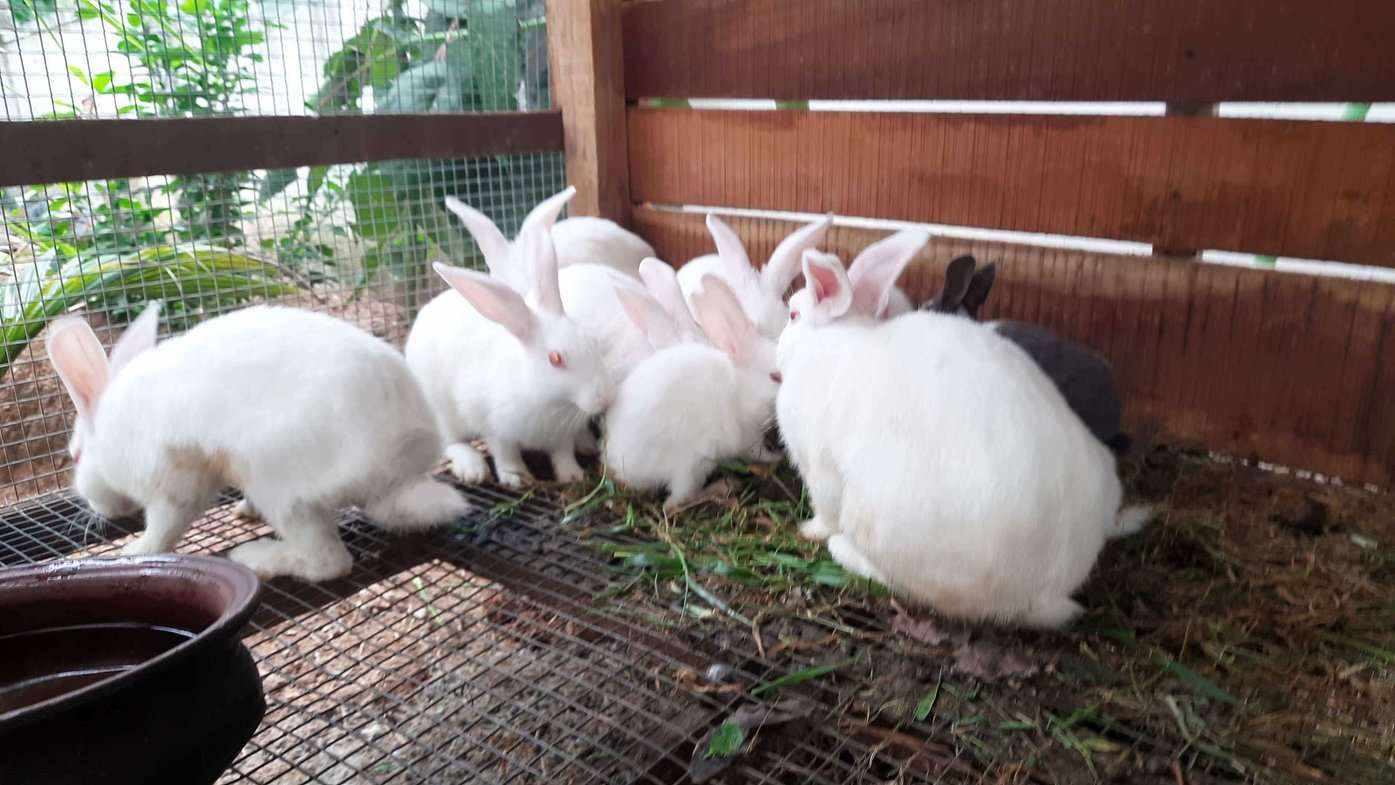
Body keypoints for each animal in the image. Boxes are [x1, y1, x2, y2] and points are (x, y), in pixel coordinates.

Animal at [44, 302, 470, 582]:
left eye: (75, 456)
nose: (94, 507)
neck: (110, 432)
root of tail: (397, 471)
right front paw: (242, 511)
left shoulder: (175, 478)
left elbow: (165, 525)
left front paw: (134, 551)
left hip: (279, 487)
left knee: (328, 562)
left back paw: (255, 557)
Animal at [406, 214, 614, 488]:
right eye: (555, 359)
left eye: (590, 341)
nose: (605, 398)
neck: (549, 400)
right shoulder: (494, 425)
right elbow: (505, 451)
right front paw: (516, 478)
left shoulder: (560, 435)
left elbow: (562, 453)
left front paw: (572, 475)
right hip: (442, 411)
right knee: (450, 442)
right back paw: (472, 468)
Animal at [604, 275, 782, 510]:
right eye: (775, 377)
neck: (740, 386)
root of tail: (621, 466)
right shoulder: (749, 436)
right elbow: (758, 453)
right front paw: (777, 457)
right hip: (692, 464)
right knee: (674, 503)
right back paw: (722, 489)